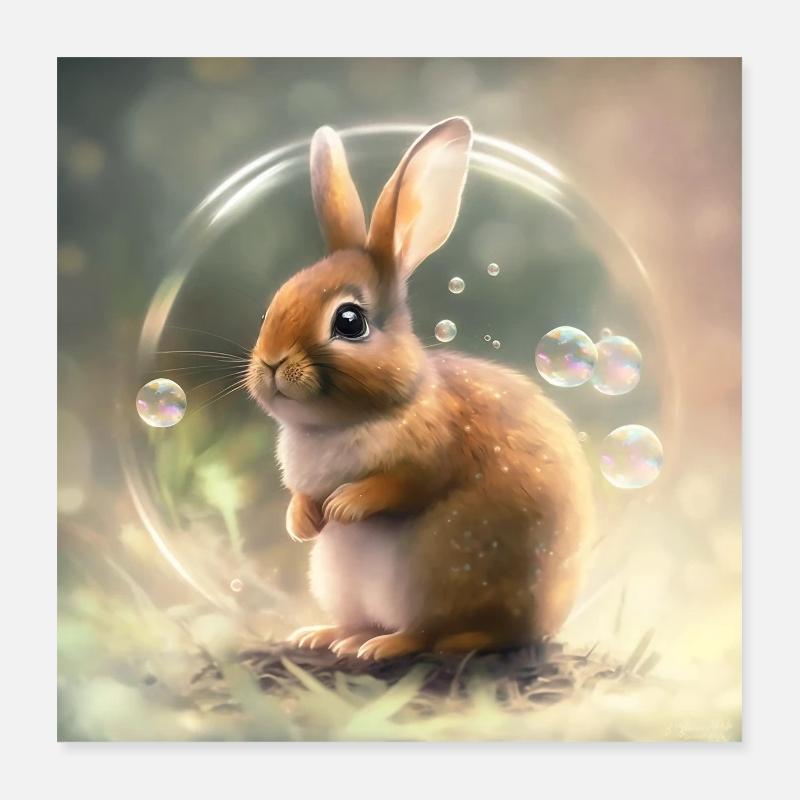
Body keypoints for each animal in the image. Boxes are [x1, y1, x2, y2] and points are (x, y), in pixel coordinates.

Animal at [246, 117, 594, 660]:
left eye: (350, 322)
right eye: (269, 312)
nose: (271, 362)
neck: (343, 421)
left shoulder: (435, 451)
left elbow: (405, 484)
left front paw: (344, 505)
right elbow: (302, 495)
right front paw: (302, 520)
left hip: (433, 569)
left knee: (435, 632)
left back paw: (393, 645)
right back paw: (329, 635)